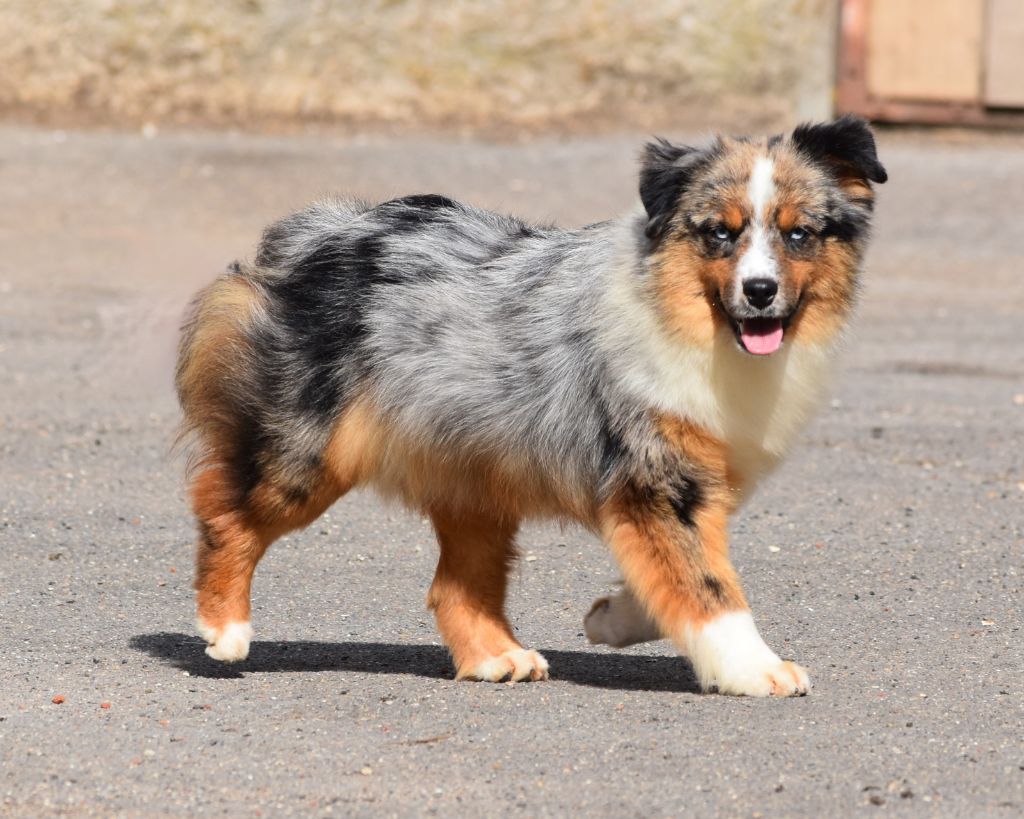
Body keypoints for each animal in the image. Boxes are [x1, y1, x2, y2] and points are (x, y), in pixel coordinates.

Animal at [174, 115, 880, 696]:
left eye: (799, 234)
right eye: (719, 234)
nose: (759, 291)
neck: (689, 320)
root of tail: (317, 229)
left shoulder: (682, 488)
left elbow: (675, 573)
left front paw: (611, 619)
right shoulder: (657, 481)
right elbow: (709, 583)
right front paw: (756, 669)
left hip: (474, 474)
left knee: (453, 586)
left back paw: (496, 657)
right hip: (308, 450)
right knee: (224, 511)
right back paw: (225, 628)